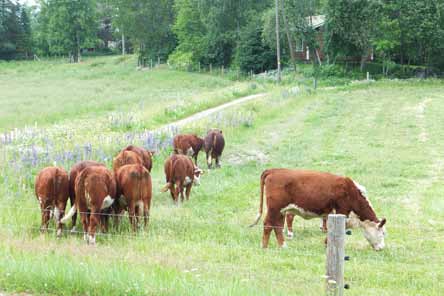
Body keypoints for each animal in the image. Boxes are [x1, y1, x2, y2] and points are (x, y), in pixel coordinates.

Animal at [251, 170, 386, 251]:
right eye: (383, 233)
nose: (382, 248)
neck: (353, 193)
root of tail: (274, 170)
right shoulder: (342, 212)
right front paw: (327, 244)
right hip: (274, 208)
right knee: (268, 224)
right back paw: (265, 247)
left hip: (281, 210)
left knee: (277, 226)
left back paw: (283, 246)